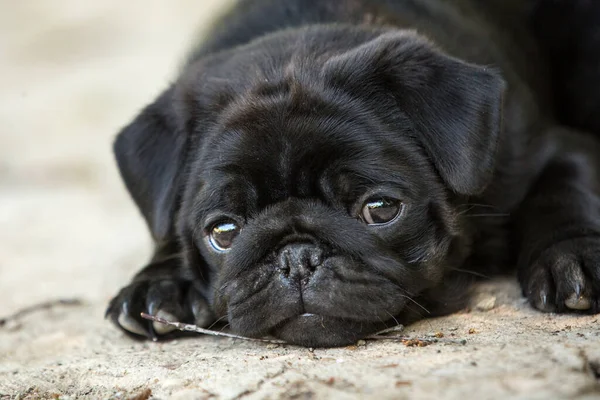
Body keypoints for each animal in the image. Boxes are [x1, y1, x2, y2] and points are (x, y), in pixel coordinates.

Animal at [105, 0, 600, 346]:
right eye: (223, 232)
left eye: (380, 209)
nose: (297, 257)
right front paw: (159, 285)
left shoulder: (551, 149)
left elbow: (566, 190)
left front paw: (572, 254)